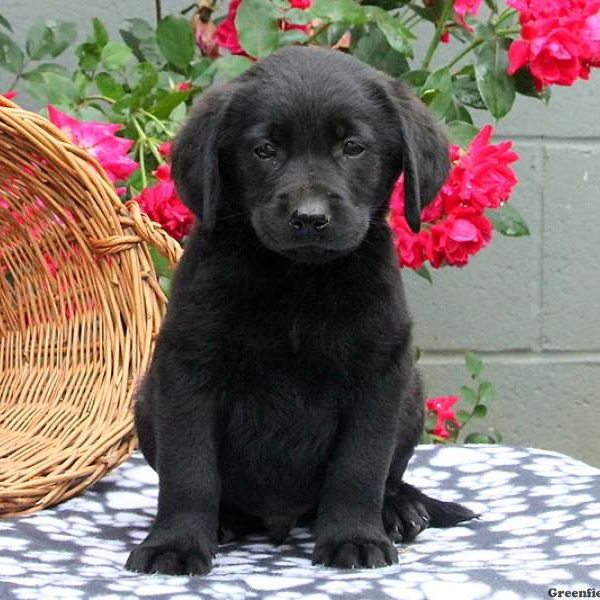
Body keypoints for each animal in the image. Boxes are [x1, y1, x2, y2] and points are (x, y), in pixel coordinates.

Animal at [124, 47, 476, 576]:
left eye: (353, 147)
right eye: (265, 150)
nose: (310, 218)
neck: (297, 281)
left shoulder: (378, 372)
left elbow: (359, 467)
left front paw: (354, 538)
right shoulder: (188, 368)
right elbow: (188, 470)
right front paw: (176, 543)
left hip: (411, 393)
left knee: (389, 477)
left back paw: (399, 509)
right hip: (148, 399)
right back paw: (224, 522)